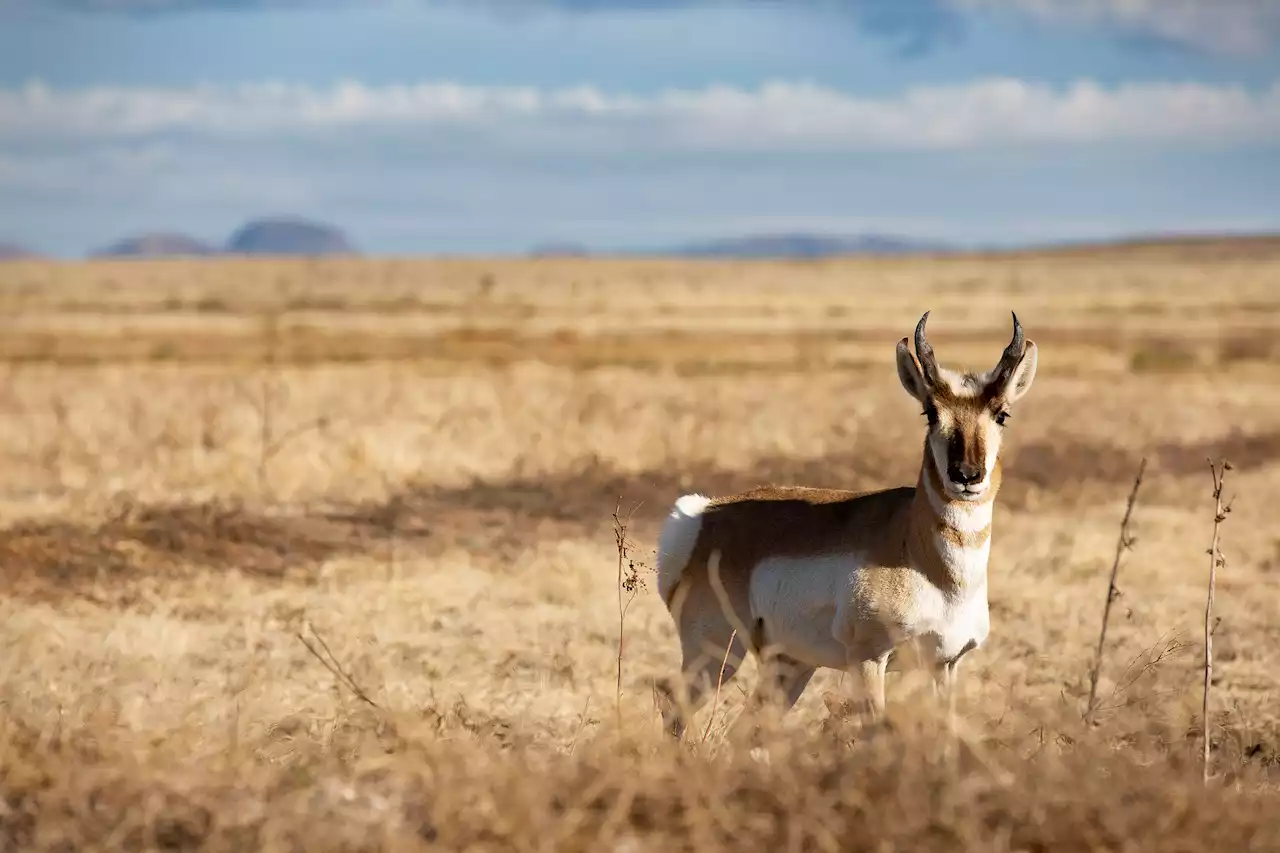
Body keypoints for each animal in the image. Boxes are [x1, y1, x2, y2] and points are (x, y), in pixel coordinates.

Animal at [655, 312, 1034, 737]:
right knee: (674, 706)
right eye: (930, 412)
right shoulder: (868, 661)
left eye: (1001, 413)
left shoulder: (945, 665)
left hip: (789, 667)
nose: (966, 475)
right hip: (717, 654)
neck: (921, 555)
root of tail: (702, 515)